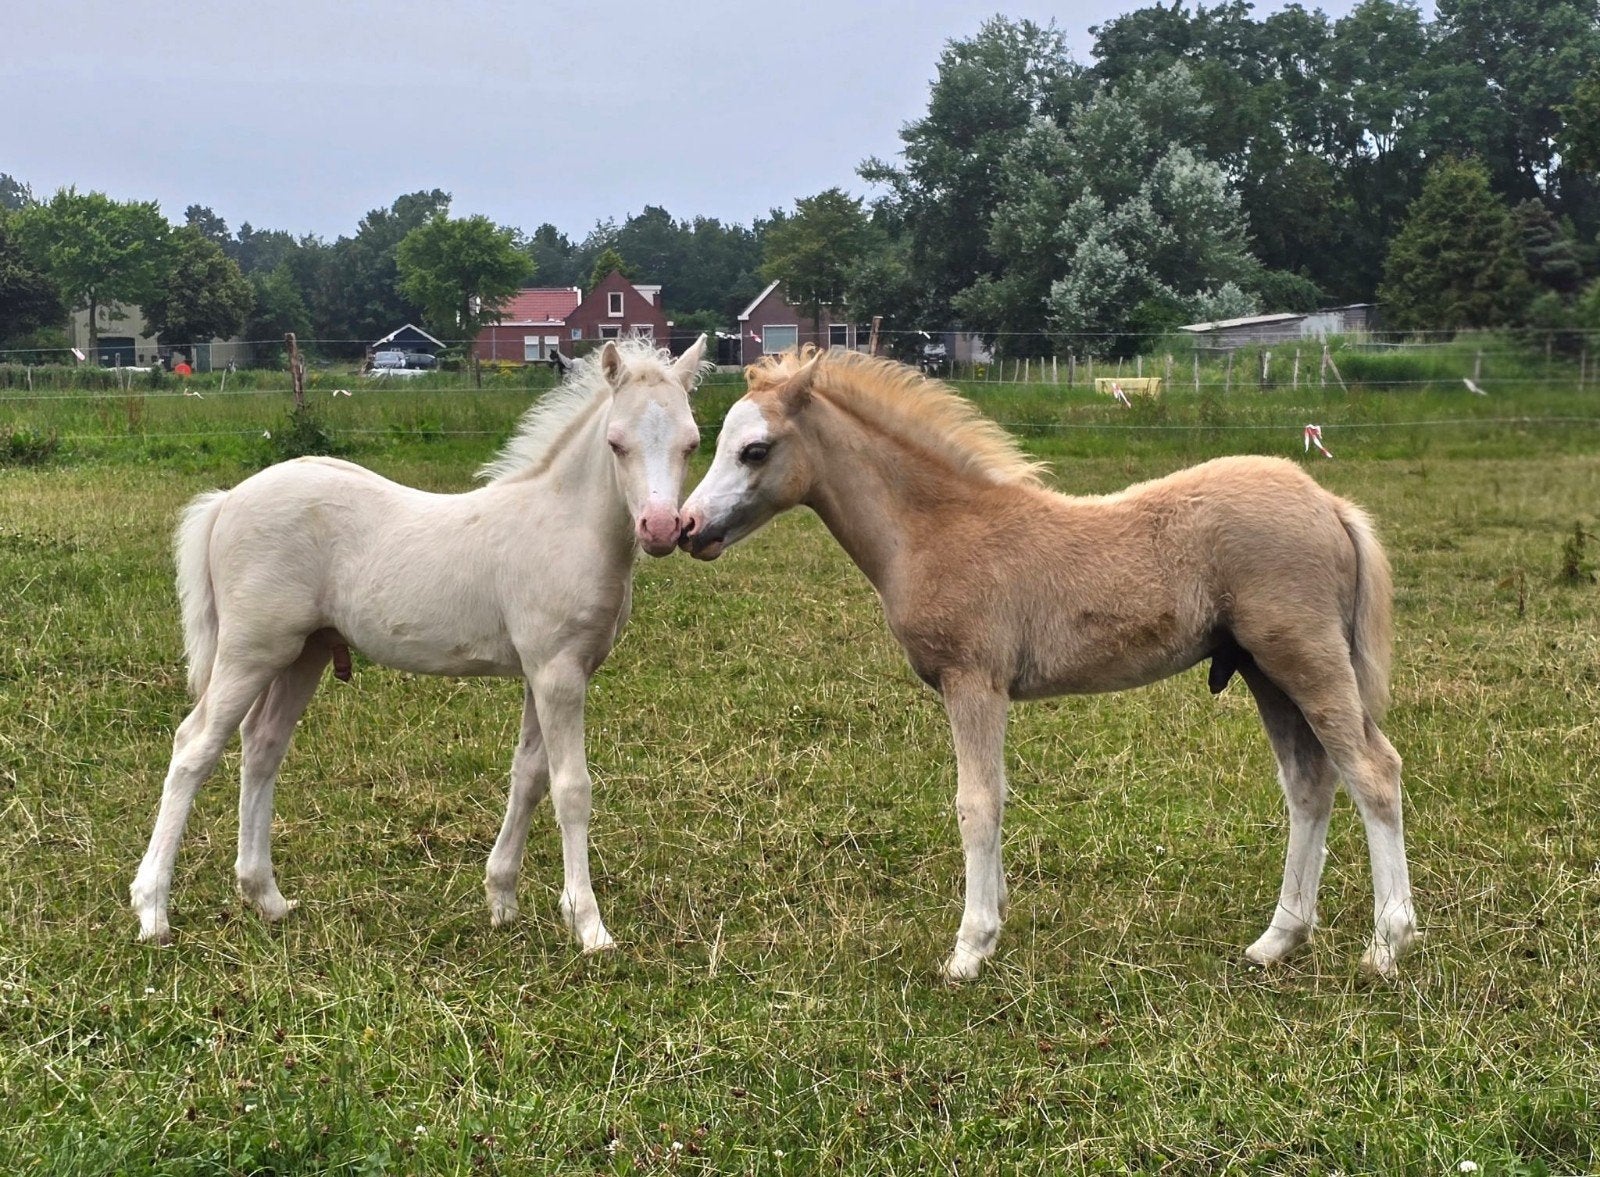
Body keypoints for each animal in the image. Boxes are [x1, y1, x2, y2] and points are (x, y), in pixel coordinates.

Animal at [131, 335, 709, 948]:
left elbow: (528, 776)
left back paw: (266, 897)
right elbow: (571, 788)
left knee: (262, 747)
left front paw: (502, 898)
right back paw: (153, 910)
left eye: (692, 442)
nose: (661, 528)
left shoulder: (545, 672)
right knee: (194, 747)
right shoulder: (558, 672)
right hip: (250, 651)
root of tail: (226, 500)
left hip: (303, 653)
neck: (561, 525)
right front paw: (589, 925)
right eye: (616, 443)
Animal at [679, 346, 1417, 980]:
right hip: (1267, 672)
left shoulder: (973, 681)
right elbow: (997, 796)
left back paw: (1387, 943)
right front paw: (994, 920)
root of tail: (1330, 504)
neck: (939, 528)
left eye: (754, 449)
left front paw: (970, 947)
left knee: (1373, 771)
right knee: (1310, 784)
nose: (684, 527)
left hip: (1306, 657)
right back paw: (1279, 938)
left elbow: (976, 802)